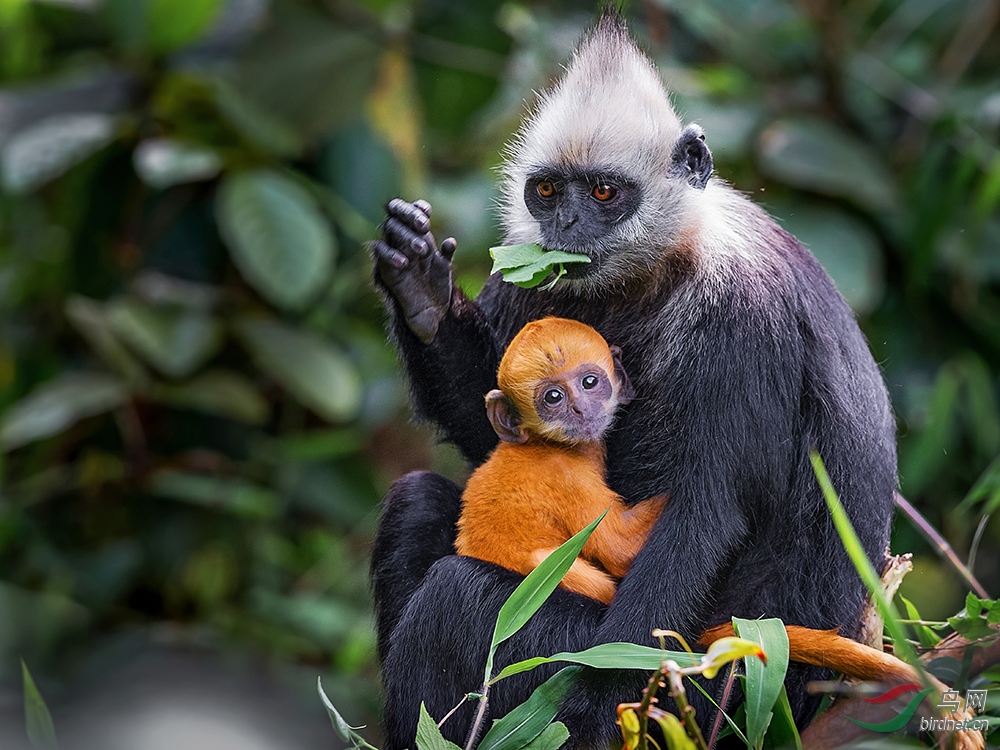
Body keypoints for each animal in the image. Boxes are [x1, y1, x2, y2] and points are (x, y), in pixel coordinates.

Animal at [456, 316, 664, 604]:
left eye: (589, 382)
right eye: (553, 397)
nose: (580, 408)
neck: (542, 444)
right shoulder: (566, 476)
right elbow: (621, 548)